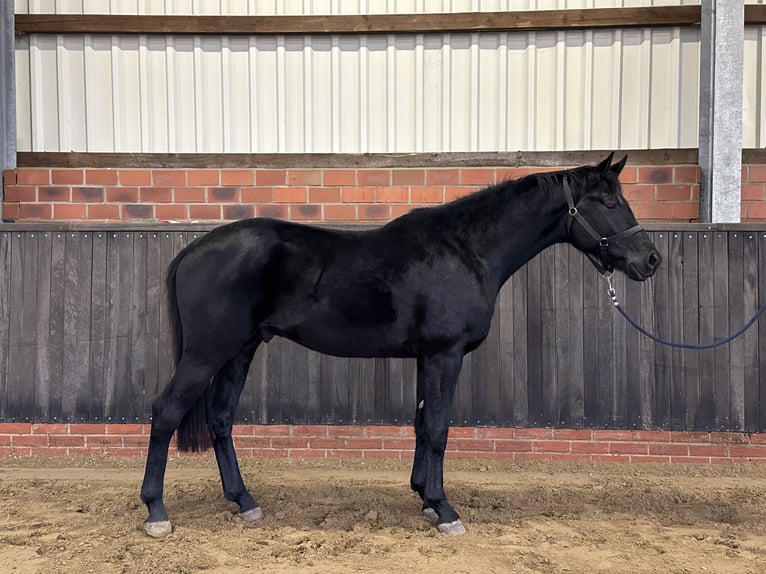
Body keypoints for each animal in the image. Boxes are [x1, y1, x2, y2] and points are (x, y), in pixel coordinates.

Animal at [141, 154, 664, 540]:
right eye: (608, 201)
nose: (650, 260)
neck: (465, 250)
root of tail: (194, 250)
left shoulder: (426, 358)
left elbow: (420, 423)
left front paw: (424, 497)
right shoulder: (444, 355)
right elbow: (438, 428)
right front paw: (444, 509)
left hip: (241, 349)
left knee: (221, 418)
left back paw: (244, 502)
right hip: (207, 352)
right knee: (166, 411)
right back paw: (156, 511)